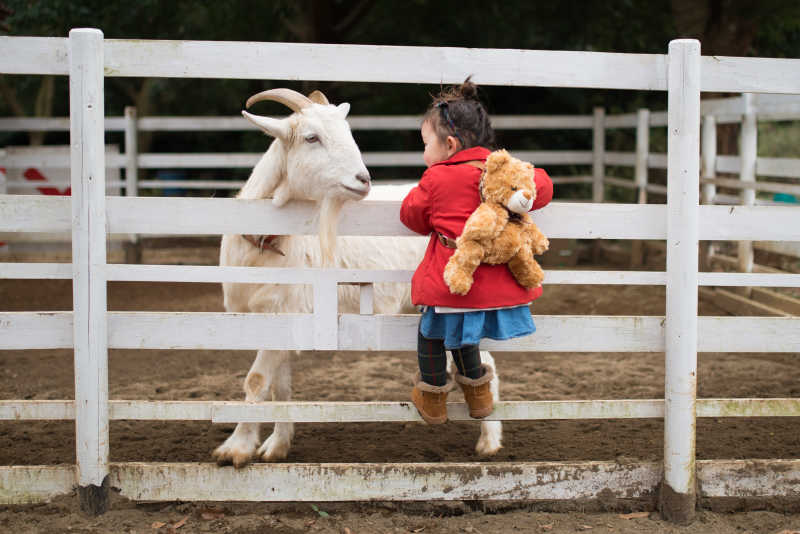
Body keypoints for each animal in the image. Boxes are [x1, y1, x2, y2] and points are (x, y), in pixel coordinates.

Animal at [212, 89, 500, 468]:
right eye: (311, 137)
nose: (363, 180)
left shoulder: (286, 310)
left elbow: (256, 380)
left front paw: (236, 449)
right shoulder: (276, 317)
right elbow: (279, 386)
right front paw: (276, 446)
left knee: (486, 361)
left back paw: (490, 442)